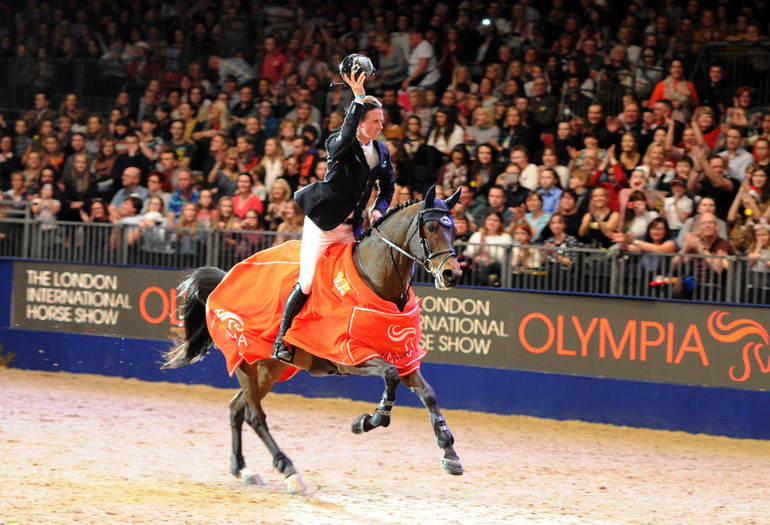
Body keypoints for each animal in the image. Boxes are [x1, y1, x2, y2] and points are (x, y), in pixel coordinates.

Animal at [162, 185, 462, 492]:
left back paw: (242, 468)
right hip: (245, 361)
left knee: (236, 409)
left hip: (268, 368)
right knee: (254, 416)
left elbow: (429, 394)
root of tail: (223, 279)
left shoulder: (403, 357)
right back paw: (288, 470)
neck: (376, 282)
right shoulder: (348, 355)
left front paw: (449, 451)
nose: (452, 274)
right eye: (431, 226)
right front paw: (367, 421)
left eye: (454, 228)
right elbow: (389, 377)